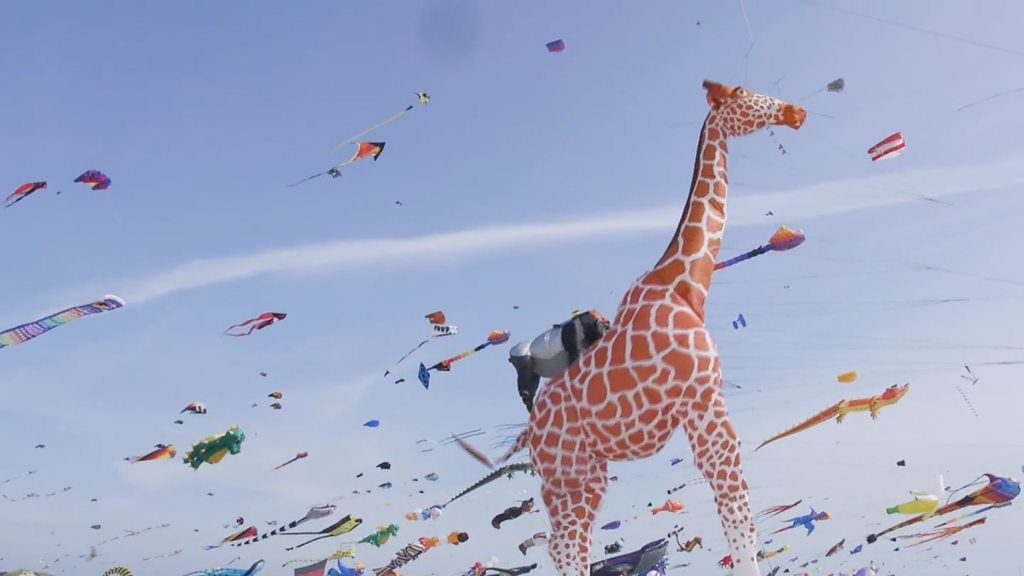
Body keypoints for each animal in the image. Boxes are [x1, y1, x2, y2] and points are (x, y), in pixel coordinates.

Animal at [501, 80, 805, 576]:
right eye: (745, 92)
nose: (796, 112)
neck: (685, 284)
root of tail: (529, 433)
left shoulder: (702, 408)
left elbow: (738, 516)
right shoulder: (704, 400)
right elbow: (740, 518)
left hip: (584, 474)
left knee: (567, 544)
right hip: (568, 476)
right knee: (567, 544)